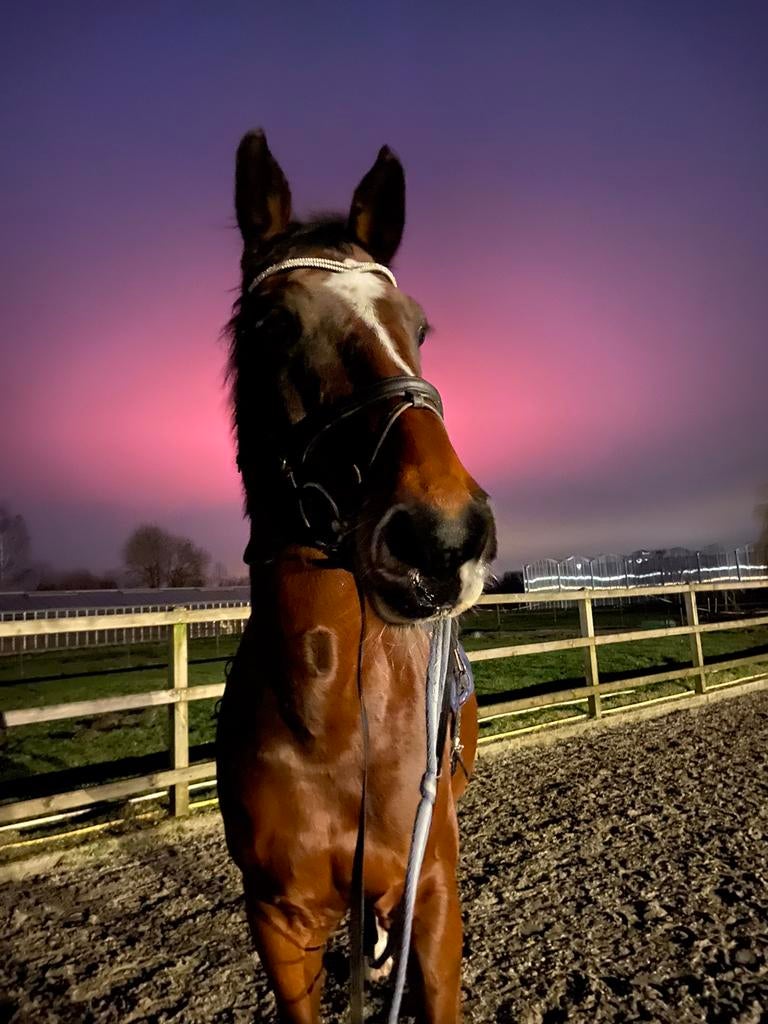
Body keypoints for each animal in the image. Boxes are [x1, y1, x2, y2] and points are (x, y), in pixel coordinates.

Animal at [215, 129, 496, 1024]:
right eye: (270, 322)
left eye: (419, 328)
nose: (443, 536)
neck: (333, 722)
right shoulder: (278, 924)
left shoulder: (432, 901)